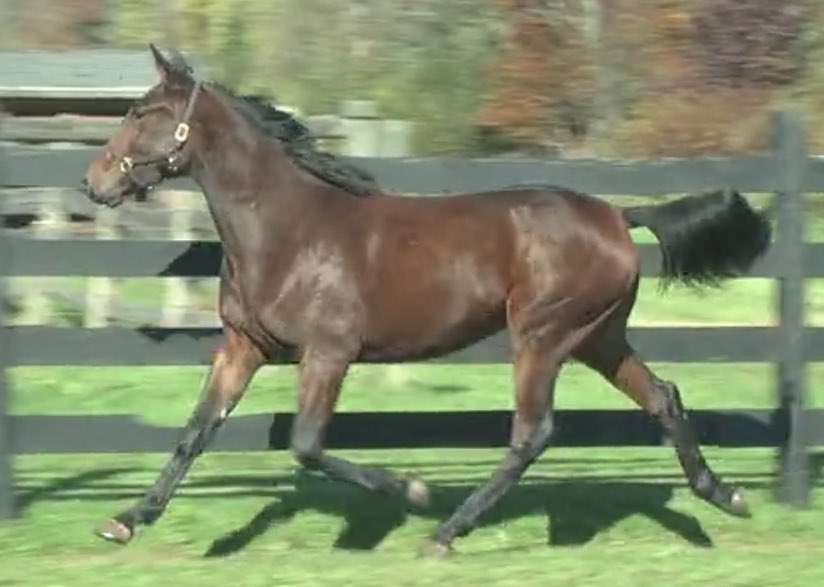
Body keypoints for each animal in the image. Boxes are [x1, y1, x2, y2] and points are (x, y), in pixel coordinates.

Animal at [82, 44, 771, 556]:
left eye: (142, 111)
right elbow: (195, 432)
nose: (94, 182)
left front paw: (408, 489)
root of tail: (619, 217)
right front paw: (127, 518)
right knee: (663, 396)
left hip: (543, 336)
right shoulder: (244, 346)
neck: (288, 228)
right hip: (598, 337)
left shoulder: (329, 352)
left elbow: (306, 444)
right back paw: (725, 495)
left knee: (533, 432)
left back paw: (445, 532)